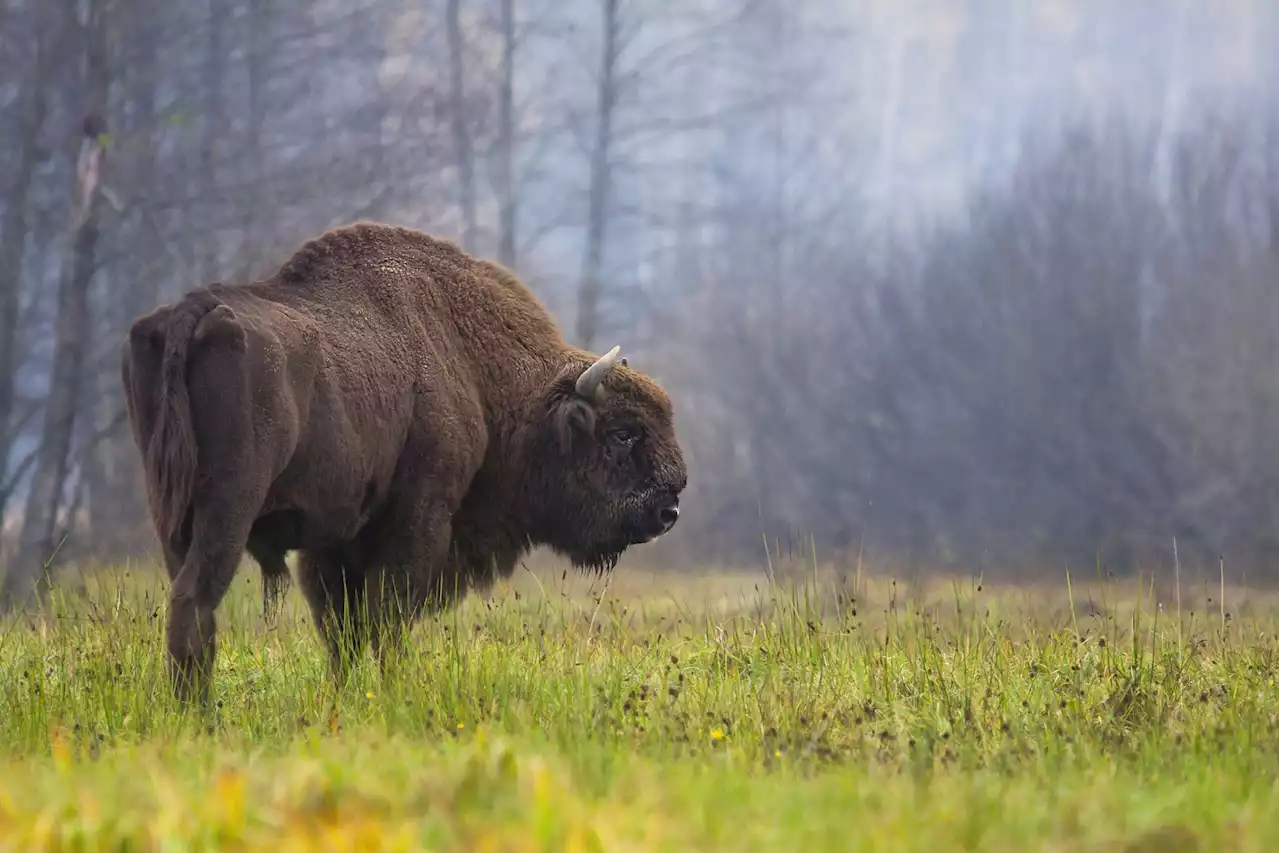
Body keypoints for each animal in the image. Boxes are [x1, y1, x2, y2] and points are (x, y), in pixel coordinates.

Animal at [122, 220, 691, 701]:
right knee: (196, 598)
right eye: (623, 433)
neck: (474, 366)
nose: (670, 507)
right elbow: (386, 618)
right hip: (229, 506)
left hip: (169, 512)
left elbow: (344, 628)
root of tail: (192, 311)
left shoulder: (333, 541)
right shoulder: (419, 518)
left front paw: (347, 697)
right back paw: (200, 712)